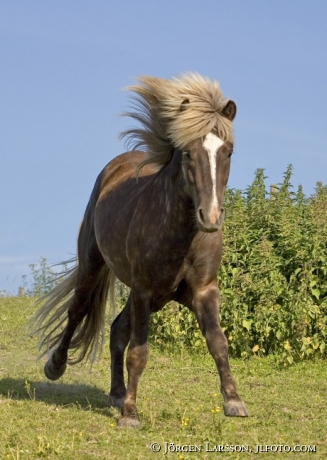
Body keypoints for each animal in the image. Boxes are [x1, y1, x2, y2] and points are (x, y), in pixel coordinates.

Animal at [32, 73, 249, 428]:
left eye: (228, 152)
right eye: (187, 153)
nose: (211, 217)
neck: (181, 235)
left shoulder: (202, 291)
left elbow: (218, 341)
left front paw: (234, 401)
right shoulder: (144, 292)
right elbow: (139, 353)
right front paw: (131, 416)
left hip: (150, 296)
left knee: (118, 329)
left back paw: (118, 393)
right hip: (95, 266)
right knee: (78, 311)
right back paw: (57, 366)